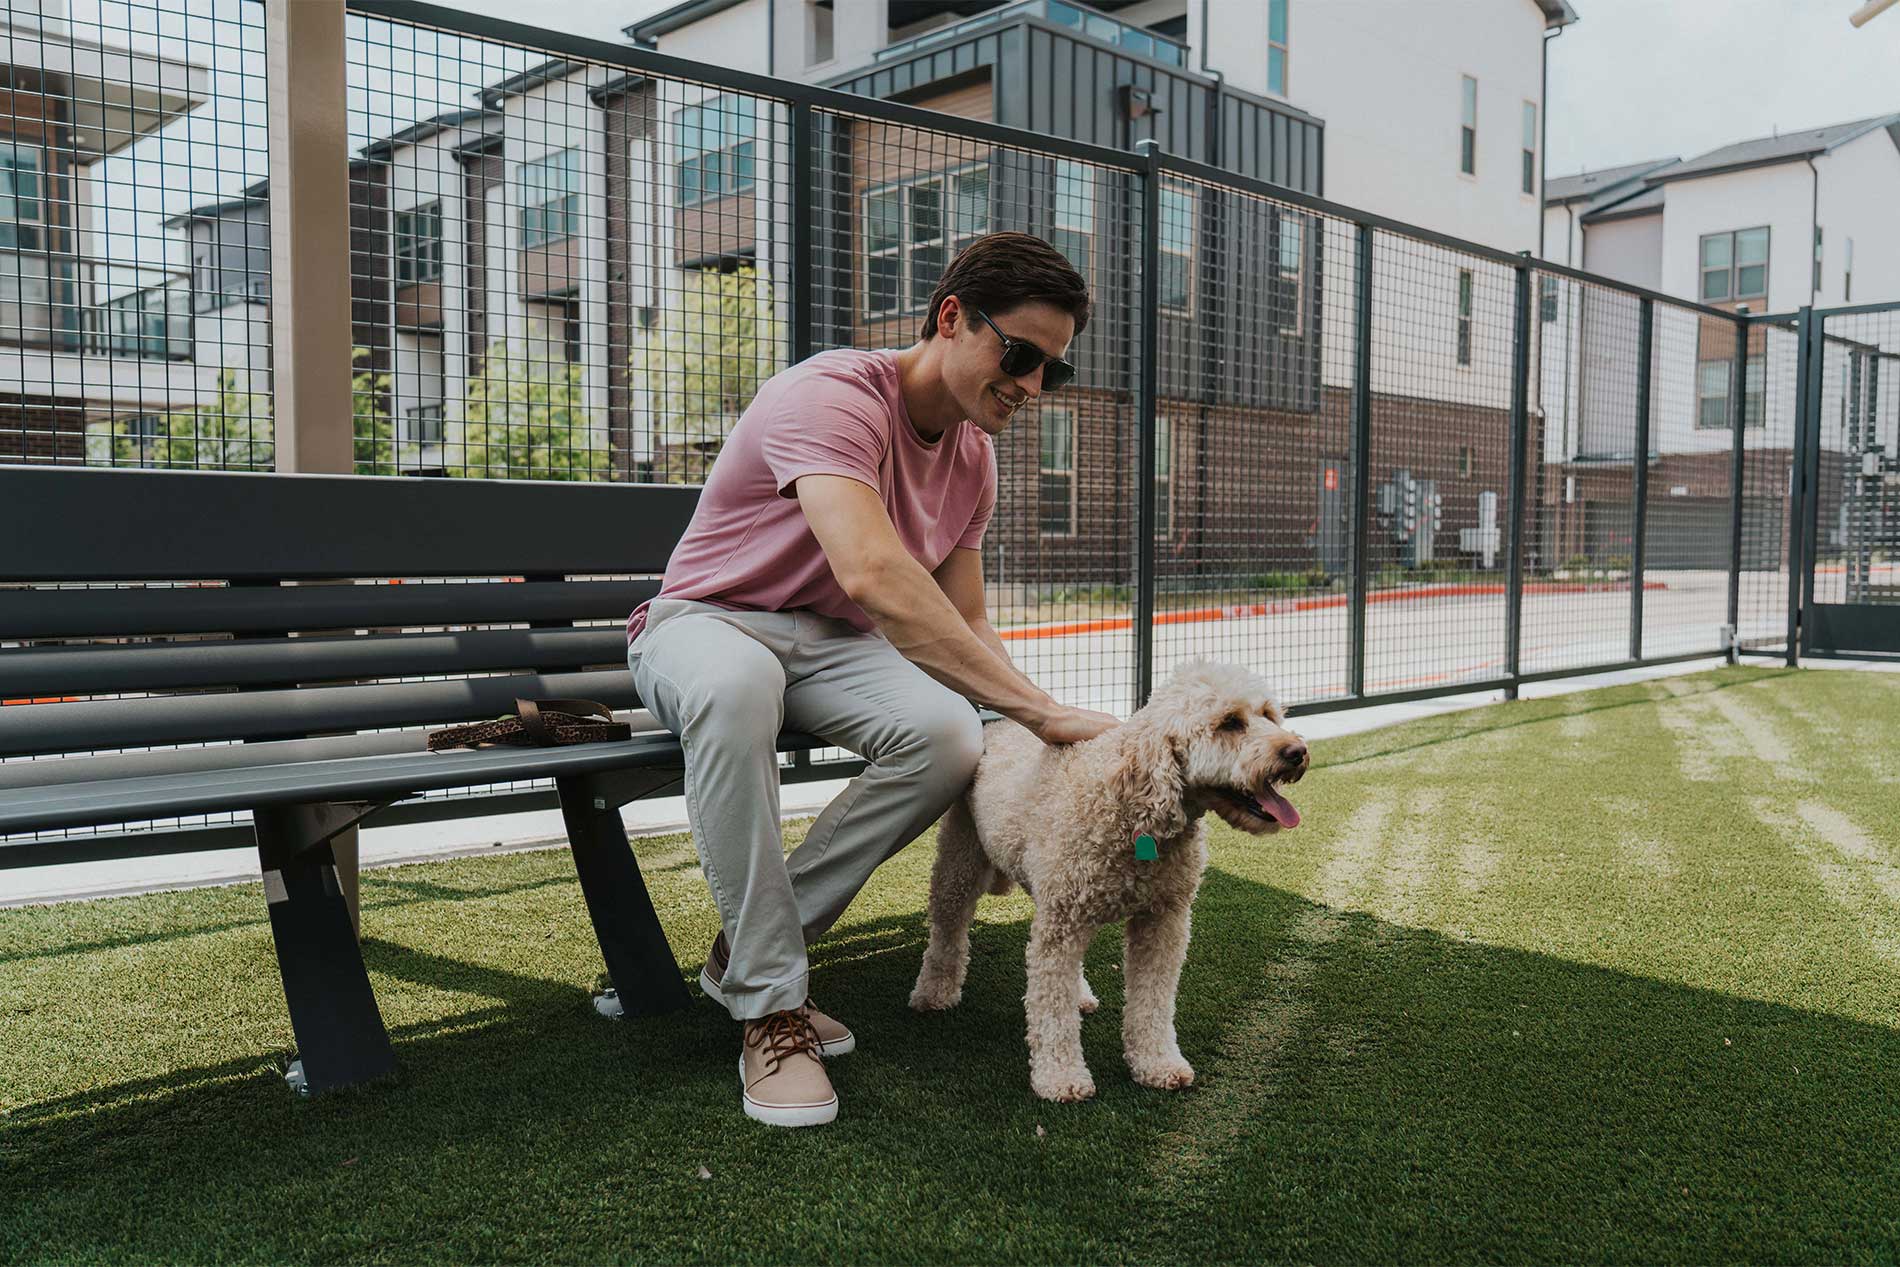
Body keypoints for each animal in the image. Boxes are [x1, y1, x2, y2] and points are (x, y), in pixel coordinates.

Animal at [908, 661, 1307, 1101]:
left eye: (1269, 714)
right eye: (1230, 723)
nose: (1297, 751)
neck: (1133, 812)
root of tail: (996, 724)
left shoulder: (1163, 920)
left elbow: (1152, 1002)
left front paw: (1157, 1063)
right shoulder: (1062, 923)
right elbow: (1051, 1007)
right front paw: (1060, 1077)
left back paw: (1080, 995)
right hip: (961, 857)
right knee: (948, 928)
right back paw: (934, 991)